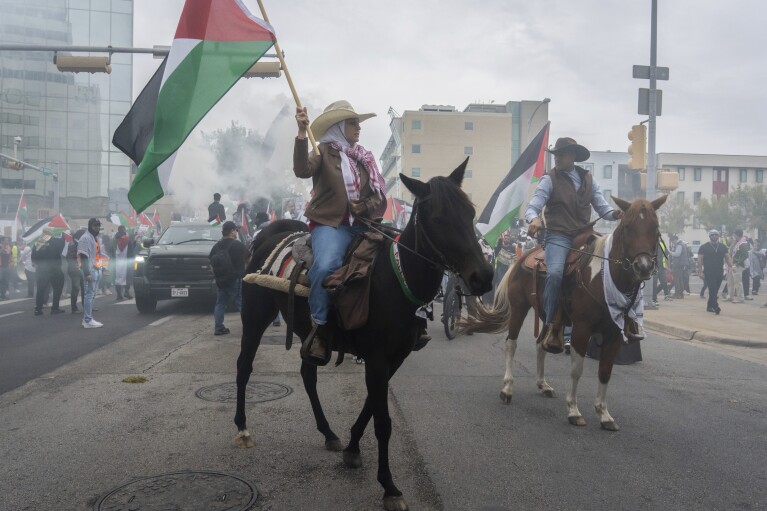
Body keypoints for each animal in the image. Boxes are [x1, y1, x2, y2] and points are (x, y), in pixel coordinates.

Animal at [232, 159, 492, 508]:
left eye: (470, 212)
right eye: (438, 218)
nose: (484, 276)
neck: (395, 279)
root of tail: (269, 238)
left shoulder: (394, 358)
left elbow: (371, 406)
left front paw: (353, 447)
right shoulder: (378, 360)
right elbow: (383, 422)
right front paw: (389, 486)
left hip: (308, 331)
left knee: (307, 375)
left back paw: (328, 433)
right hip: (254, 318)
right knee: (244, 366)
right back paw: (243, 429)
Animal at [462, 197, 664, 432]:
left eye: (655, 227)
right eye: (627, 227)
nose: (644, 267)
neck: (601, 278)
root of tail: (523, 258)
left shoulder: (614, 334)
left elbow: (605, 371)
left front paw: (604, 414)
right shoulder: (582, 329)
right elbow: (576, 369)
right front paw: (574, 411)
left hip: (547, 313)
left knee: (540, 344)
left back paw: (543, 384)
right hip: (520, 308)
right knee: (511, 344)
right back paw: (507, 389)